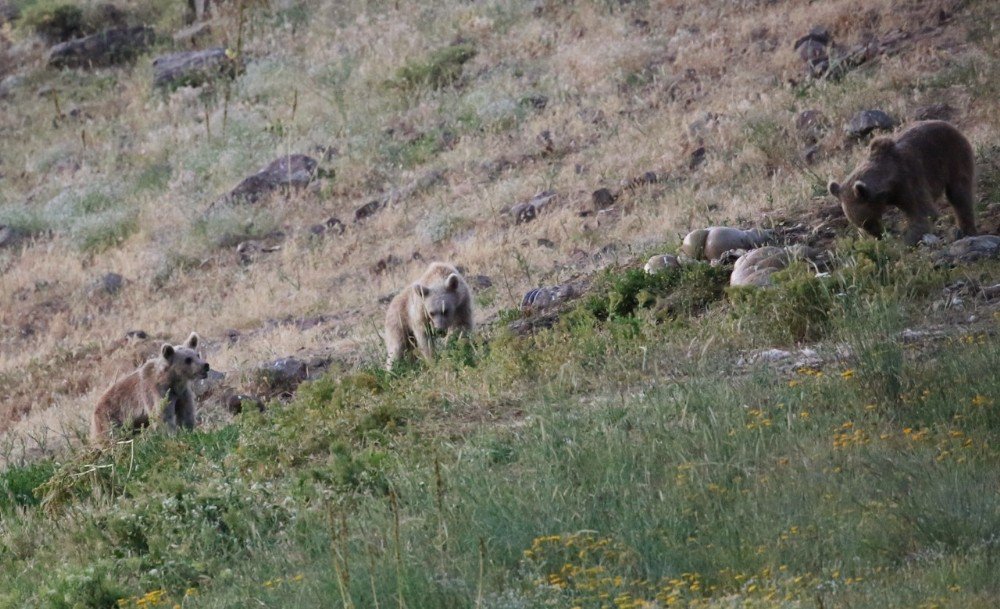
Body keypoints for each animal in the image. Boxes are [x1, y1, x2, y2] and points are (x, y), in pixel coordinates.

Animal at [828, 119, 976, 245]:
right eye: (860, 225)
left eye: (868, 221)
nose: (878, 235)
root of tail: (950, 125)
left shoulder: (909, 181)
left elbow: (924, 213)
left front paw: (903, 243)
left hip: (953, 157)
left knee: (959, 195)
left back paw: (966, 230)